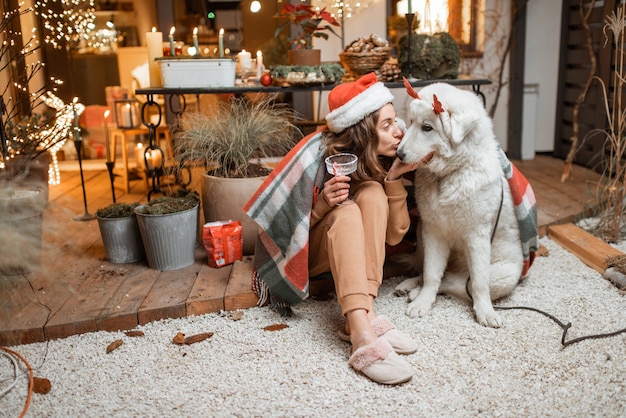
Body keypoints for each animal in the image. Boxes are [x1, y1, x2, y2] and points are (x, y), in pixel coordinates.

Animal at [394, 81, 536, 328]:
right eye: (411, 122)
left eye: (427, 128)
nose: (399, 154)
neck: (450, 174)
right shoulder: (433, 232)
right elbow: (431, 274)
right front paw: (423, 301)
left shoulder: (477, 237)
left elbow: (478, 282)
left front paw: (485, 312)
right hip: (421, 232)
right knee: (431, 274)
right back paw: (409, 287)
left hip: (504, 276)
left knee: (457, 283)